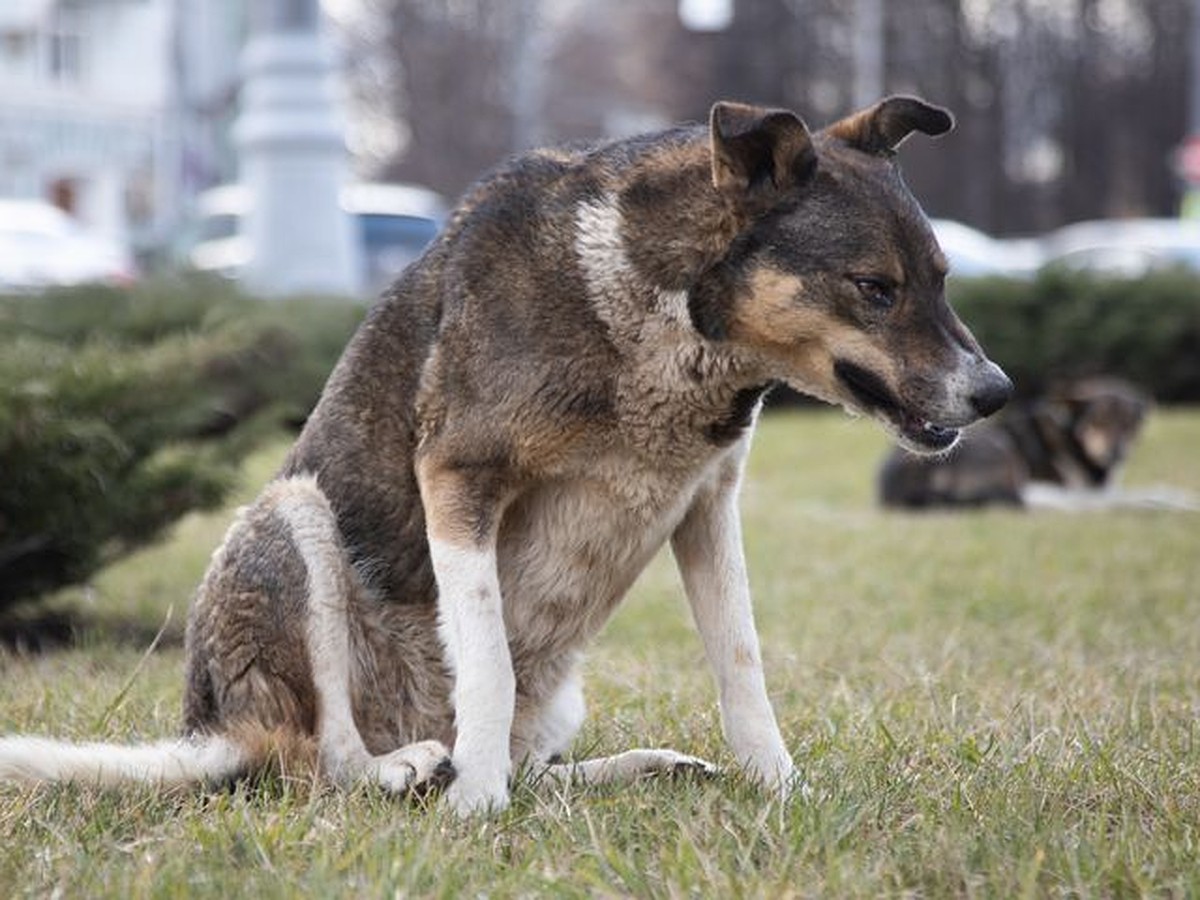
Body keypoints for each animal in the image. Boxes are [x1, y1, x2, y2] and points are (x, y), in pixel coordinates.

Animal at [0, 95, 1012, 816]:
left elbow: (742, 665)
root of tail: (213, 731)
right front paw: (475, 803)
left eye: (942, 280)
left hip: (559, 694)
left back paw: (637, 768)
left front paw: (780, 787)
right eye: (874, 288)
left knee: (536, 770)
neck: (655, 315)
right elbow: (483, 657)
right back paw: (414, 770)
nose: (997, 392)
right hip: (293, 523)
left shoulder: (706, 507)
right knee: (321, 762)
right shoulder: (459, 477)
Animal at [878, 374, 1195, 511]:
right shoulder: (1089, 489)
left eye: (1130, 424)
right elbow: (1144, 493)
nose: (1117, 454)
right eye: (1098, 422)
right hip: (1002, 446)